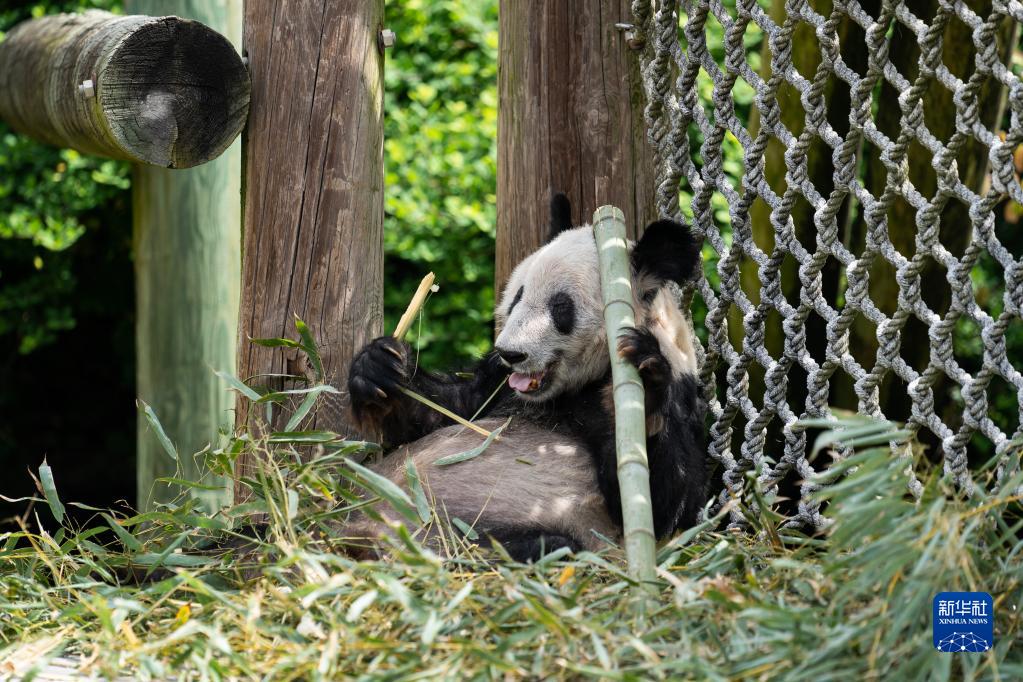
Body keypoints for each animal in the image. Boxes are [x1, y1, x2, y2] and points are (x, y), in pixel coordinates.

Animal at [347, 196, 707, 560]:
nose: (511, 353)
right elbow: (447, 410)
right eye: (517, 296)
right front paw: (378, 366)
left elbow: (665, 505)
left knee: (544, 545)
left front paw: (645, 387)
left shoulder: (683, 394)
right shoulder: (497, 383)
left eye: (561, 307)